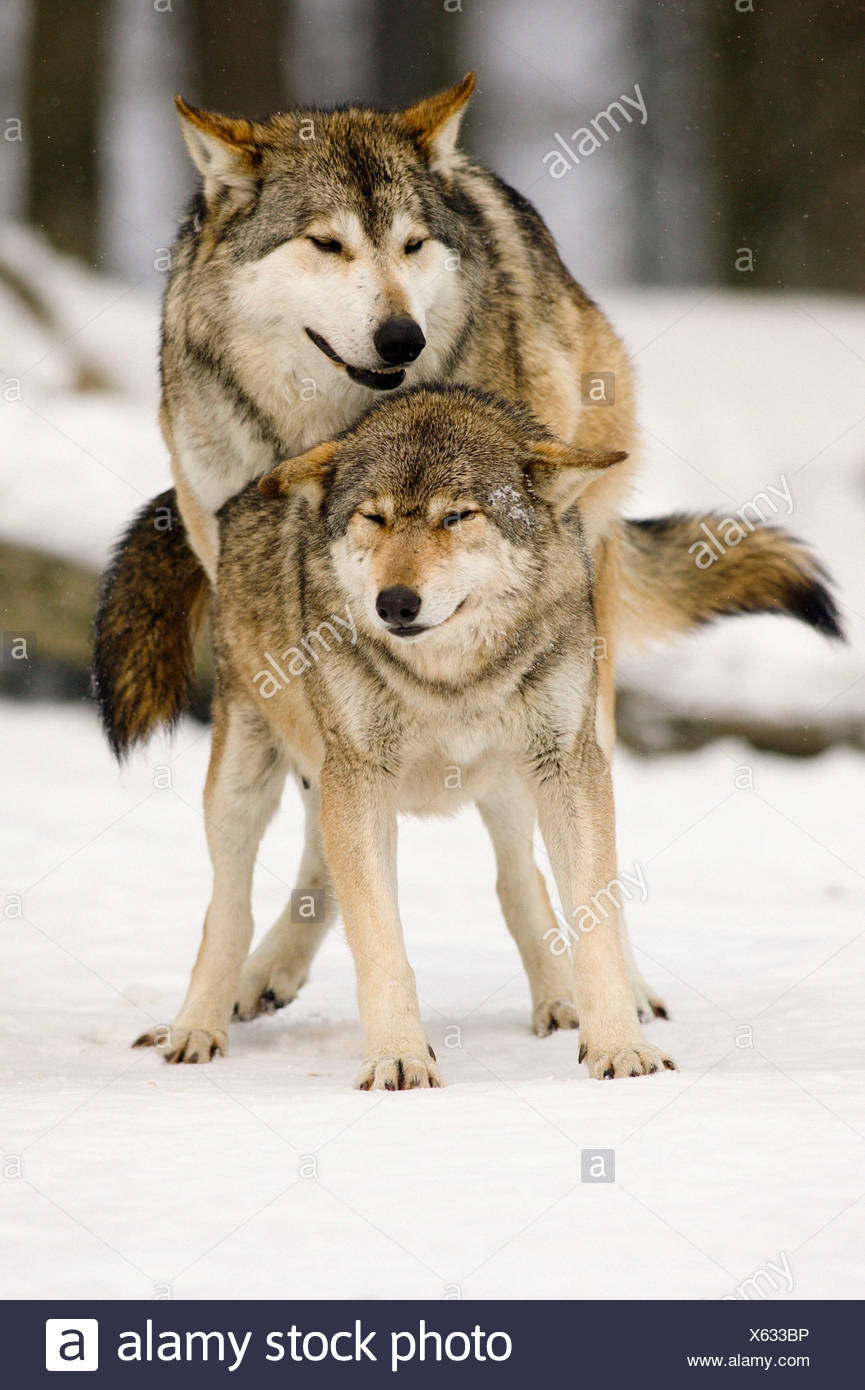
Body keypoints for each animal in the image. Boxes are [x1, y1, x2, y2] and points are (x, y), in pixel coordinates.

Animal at [93, 75, 842, 1032]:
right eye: (326, 243)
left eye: (412, 245)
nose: (401, 338)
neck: (320, 429)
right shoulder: (294, 658)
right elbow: (338, 838)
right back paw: (261, 976)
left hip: (580, 666)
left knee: (541, 853)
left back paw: (602, 990)